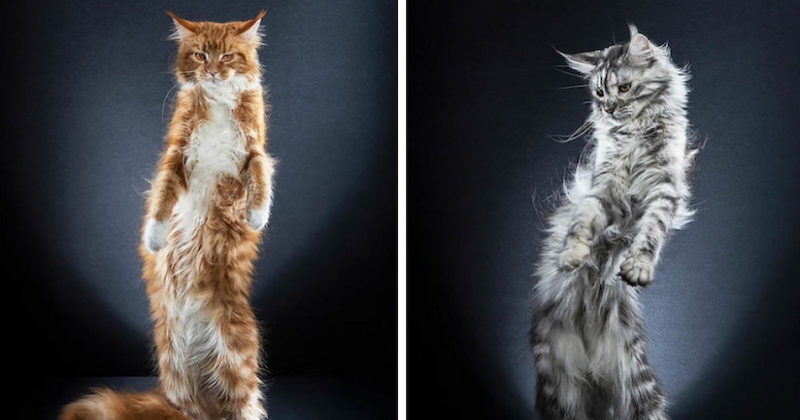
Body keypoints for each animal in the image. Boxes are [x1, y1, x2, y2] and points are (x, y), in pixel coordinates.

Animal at [57, 10, 274, 420]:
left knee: (244, 402)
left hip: (235, 355)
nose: (213, 73)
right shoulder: (177, 155)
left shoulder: (253, 149)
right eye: (201, 56)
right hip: (173, 362)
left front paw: (255, 216)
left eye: (228, 56)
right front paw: (154, 239)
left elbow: (261, 176)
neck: (217, 103)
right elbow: (160, 200)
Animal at [532, 24, 692, 418]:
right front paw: (572, 254)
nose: (608, 108)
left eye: (624, 88)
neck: (635, 134)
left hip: (639, 387)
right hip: (560, 389)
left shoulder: (665, 191)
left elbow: (651, 233)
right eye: (600, 91)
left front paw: (637, 267)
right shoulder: (606, 189)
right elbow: (582, 221)